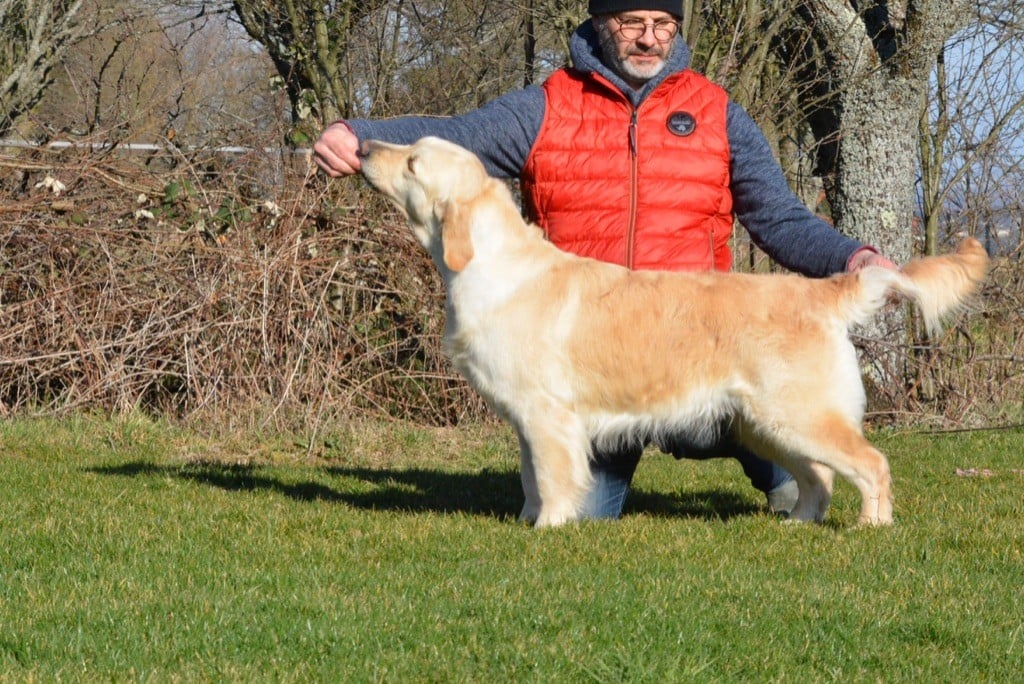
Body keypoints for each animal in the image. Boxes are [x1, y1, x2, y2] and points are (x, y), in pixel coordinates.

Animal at [360, 135, 991, 528]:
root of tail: (820, 291)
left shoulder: (547, 415)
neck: (488, 264)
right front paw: (525, 519)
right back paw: (799, 523)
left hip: (799, 414)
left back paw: (871, 527)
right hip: (765, 423)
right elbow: (531, 479)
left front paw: (549, 528)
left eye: (413, 163)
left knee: (870, 464)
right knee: (818, 478)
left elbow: (554, 479)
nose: (363, 146)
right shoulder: (526, 420)